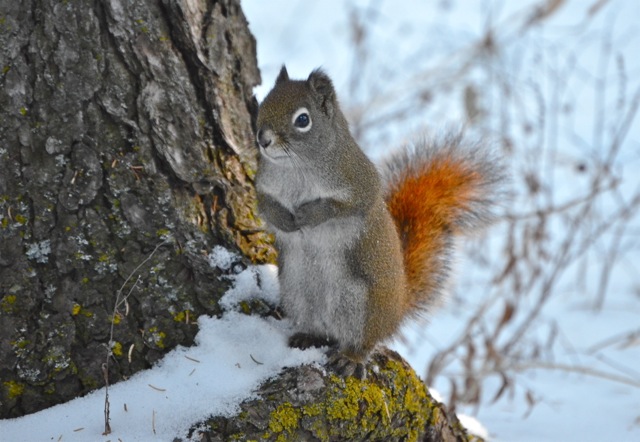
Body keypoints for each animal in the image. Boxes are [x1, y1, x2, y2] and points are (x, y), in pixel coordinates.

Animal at [255, 66, 505, 378]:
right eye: (264, 102)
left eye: (303, 119)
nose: (262, 139)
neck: (295, 167)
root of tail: (397, 310)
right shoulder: (263, 186)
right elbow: (266, 206)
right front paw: (285, 220)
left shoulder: (361, 182)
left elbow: (341, 207)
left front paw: (309, 214)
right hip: (296, 292)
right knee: (318, 329)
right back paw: (308, 336)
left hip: (362, 306)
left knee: (362, 341)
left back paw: (351, 357)